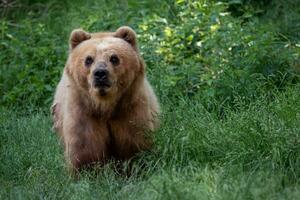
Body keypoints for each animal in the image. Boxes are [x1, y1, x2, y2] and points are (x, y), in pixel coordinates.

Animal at [51, 25, 159, 171]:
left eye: (114, 58)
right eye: (88, 59)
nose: (100, 73)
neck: (105, 105)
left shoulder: (130, 109)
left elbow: (135, 141)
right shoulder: (83, 113)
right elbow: (84, 150)